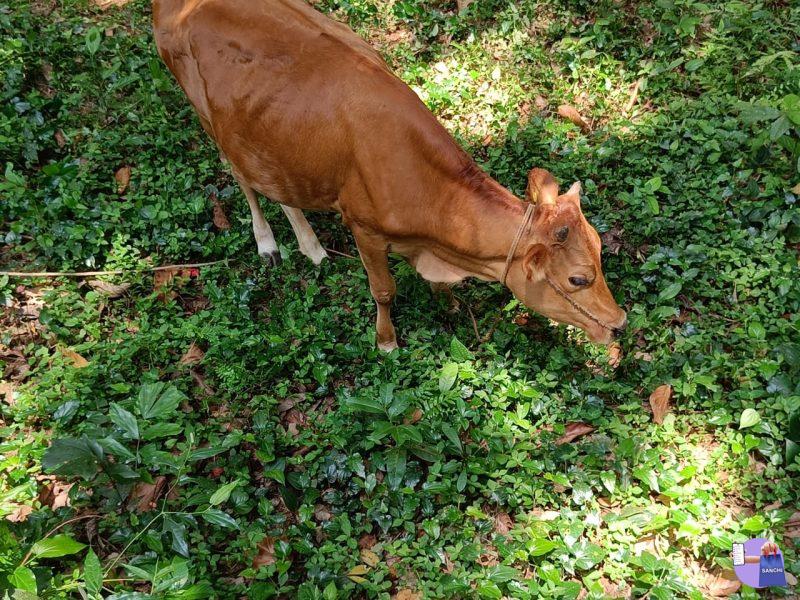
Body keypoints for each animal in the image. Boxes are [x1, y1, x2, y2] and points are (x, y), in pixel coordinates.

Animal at [150, 0, 624, 346]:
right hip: (207, 115)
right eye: (578, 279)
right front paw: (386, 342)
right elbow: (384, 291)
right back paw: (268, 242)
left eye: (602, 252)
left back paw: (311, 245)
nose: (619, 322)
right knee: (242, 178)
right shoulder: (364, 229)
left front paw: (448, 301)